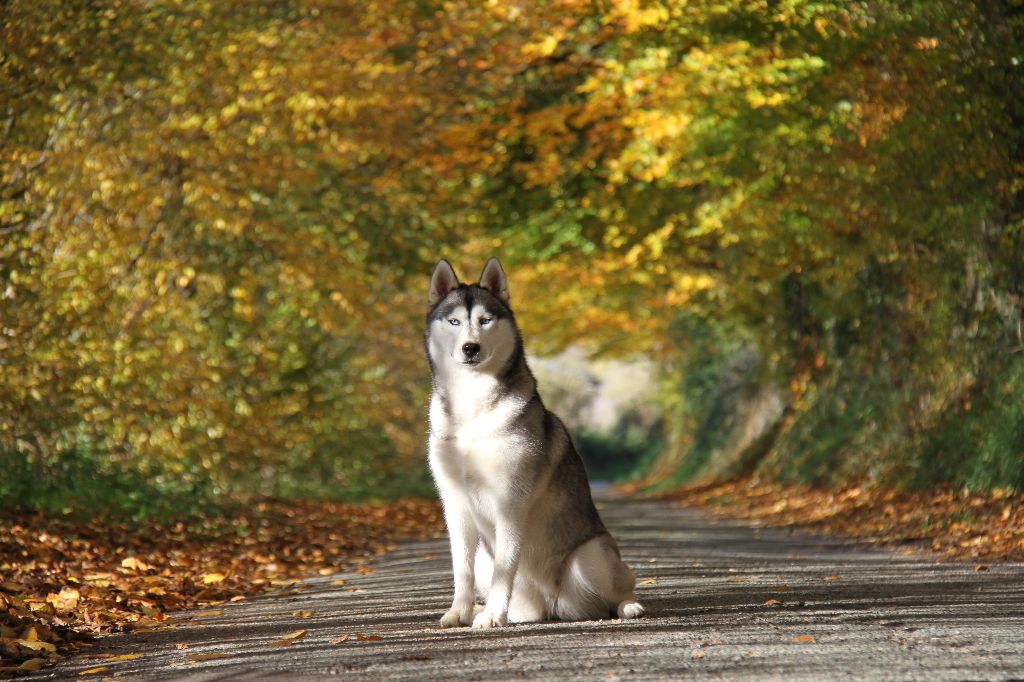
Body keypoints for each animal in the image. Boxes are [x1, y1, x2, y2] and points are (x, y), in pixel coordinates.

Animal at [421, 258, 638, 630]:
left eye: (485, 320)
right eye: (454, 321)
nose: (470, 347)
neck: (471, 409)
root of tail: (553, 606)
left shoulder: (510, 500)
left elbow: (506, 567)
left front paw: (493, 615)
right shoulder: (455, 502)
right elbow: (461, 568)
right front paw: (460, 612)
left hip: (592, 554)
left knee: (618, 591)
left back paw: (628, 606)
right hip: (489, 556)